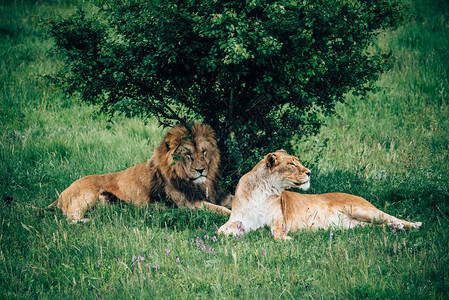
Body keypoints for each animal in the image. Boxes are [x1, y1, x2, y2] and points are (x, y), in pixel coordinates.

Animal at [48, 122, 231, 223]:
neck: (200, 184)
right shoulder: (188, 204)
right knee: (70, 217)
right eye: (188, 155)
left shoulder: (217, 194)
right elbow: (220, 209)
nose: (201, 170)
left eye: (204, 152)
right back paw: (87, 221)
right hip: (87, 196)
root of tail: (60, 195)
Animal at [219, 149, 422, 239]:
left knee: (391, 217)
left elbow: (276, 232)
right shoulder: (238, 218)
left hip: (361, 209)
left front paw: (285, 238)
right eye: (291, 164)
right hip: (355, 225)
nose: (309, 172)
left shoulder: (278, 219)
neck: (263, 188)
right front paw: (231, 235)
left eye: (298, 161)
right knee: (377, 226)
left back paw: (412, 225)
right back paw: (396, 229)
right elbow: (221, 230)